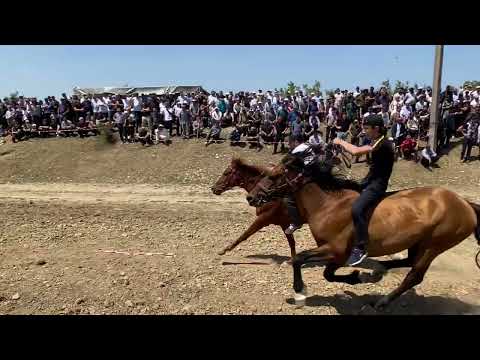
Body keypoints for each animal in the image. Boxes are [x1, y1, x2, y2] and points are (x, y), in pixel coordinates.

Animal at [248, 157, 480, 310]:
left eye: (274, 176)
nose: (251, 197)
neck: (329, 206)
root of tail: (465, 204)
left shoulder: (336, 250)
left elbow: (300, 259)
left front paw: (299, 290)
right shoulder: (338, 255)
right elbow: (327, 273)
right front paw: (358, 277)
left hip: (434, 245)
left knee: (414, 275)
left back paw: (381, 301)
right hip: (419, 243)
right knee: (407, 262)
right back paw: (376, 271)